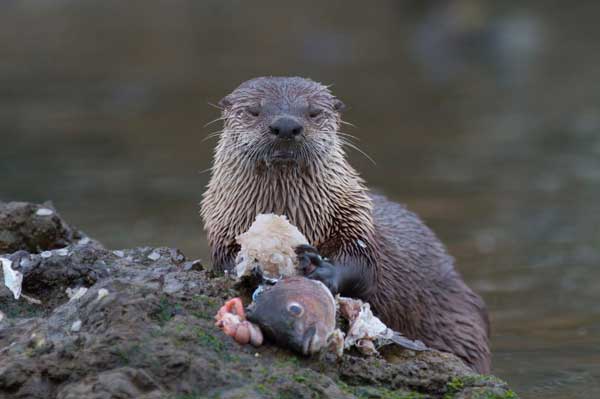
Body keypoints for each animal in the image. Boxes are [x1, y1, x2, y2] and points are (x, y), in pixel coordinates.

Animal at [202, 76, 492, 374]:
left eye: (313, 112)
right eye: (254, 111)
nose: (285, 125)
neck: (293, 215)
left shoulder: (353, 218)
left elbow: (364, 264)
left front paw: (324, 270)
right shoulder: (222, 225)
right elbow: (224, 261)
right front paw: (253, 266)